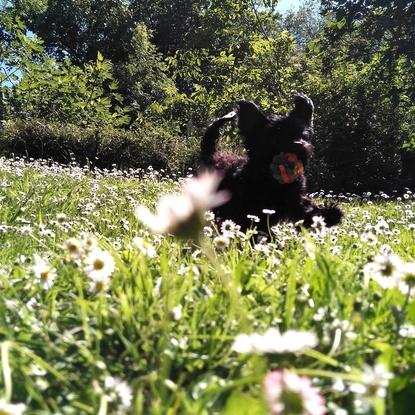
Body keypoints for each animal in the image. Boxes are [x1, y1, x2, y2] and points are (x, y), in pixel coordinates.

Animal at [200, 93, 342, 234]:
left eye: (303, 135)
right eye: (275, 136)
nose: (298, 144)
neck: (274, 180)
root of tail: (211, 156)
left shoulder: (295, 199)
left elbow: (306, 209)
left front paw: (328, 215)